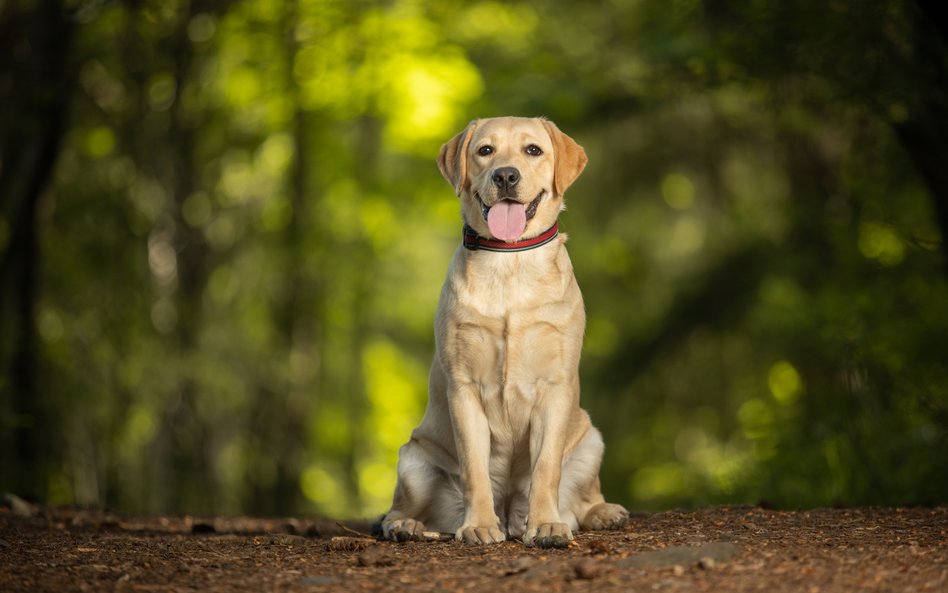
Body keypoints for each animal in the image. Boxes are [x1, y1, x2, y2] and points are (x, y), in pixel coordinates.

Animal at [378, 115, 628, 544]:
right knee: (401, 508)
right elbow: (474, 469)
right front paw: (478, 524)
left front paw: (546, 524)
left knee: (584, 499)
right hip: (412, 459)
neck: (509, 258)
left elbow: (547, 467)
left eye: (533, 150)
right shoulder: (464, 388)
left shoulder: (555, 387)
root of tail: (511, 511)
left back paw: (602, 513)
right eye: (485, 150)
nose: (506, 175)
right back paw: (406, 526)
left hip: (591, 441)